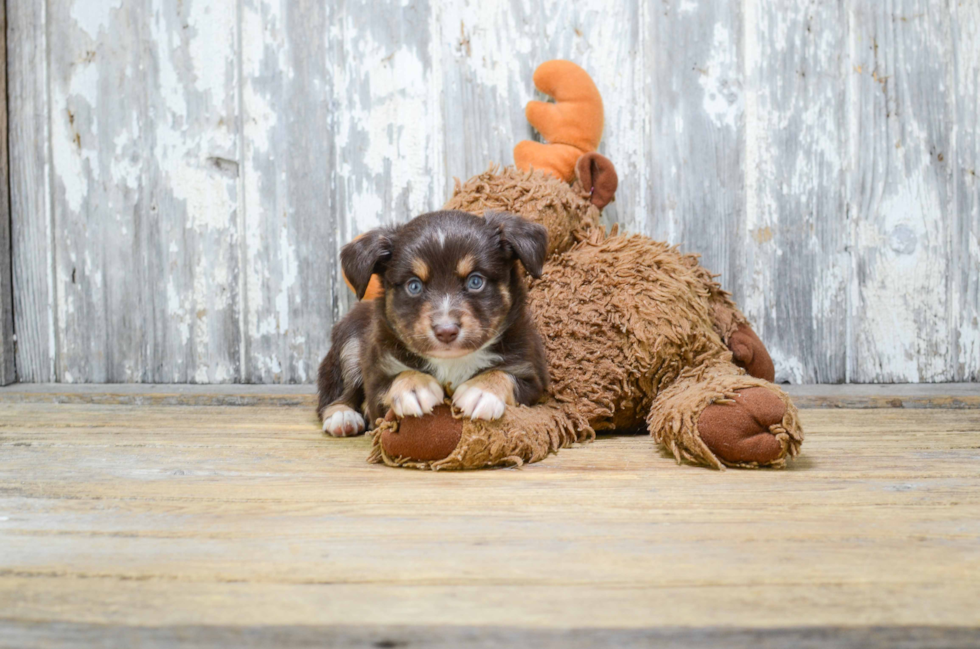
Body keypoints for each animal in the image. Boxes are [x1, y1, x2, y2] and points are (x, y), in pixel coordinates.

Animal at [322, 210, 552, 438]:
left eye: (475, 281)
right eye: (414, 286)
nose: (446, 331)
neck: (451, 360)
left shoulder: (530, 371)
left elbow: (502, 373)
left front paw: (480, 391)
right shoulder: (377, 374)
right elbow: (397, 377)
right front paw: (414, 388)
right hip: (349, 343)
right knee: (336, 393)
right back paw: (342, 417)